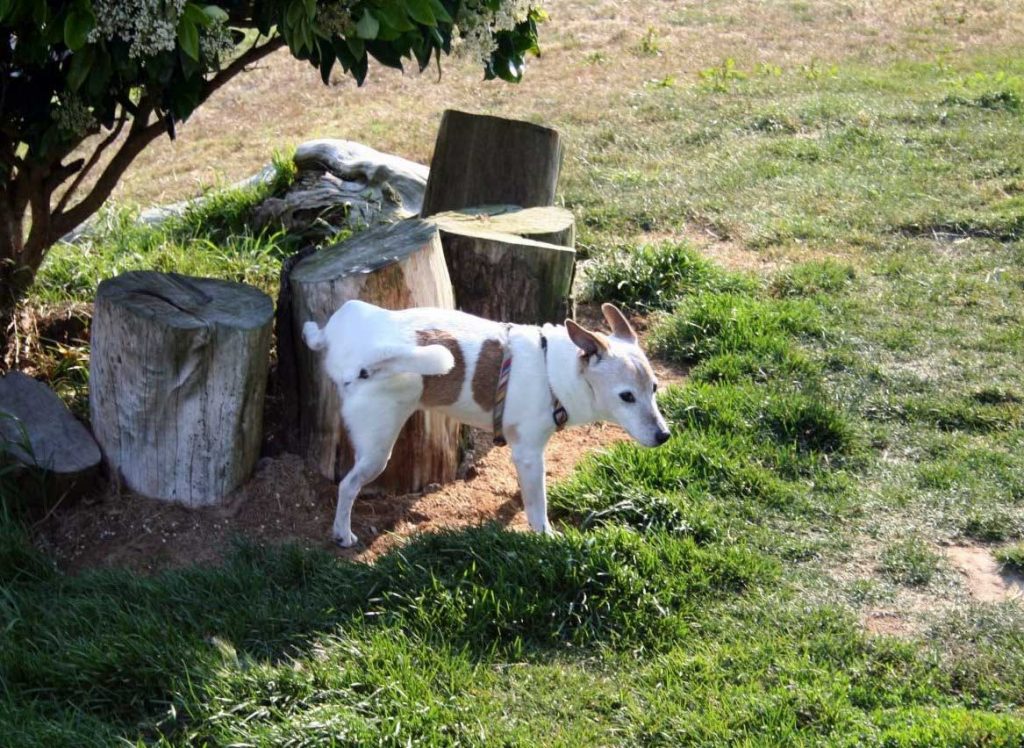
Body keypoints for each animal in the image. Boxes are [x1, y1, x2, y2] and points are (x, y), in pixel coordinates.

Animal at [301, 299, 671, 549]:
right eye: (626, 397)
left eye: (654, 389)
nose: (664, 435)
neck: (553, 370)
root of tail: (357, 358)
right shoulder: (528, 452)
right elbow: (538, 504)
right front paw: (546, 535)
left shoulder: (527, 457)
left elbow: (529, 492)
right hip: (378, 449)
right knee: (348, 485)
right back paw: (343, 533)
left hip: (354, 310)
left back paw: (313, 332)